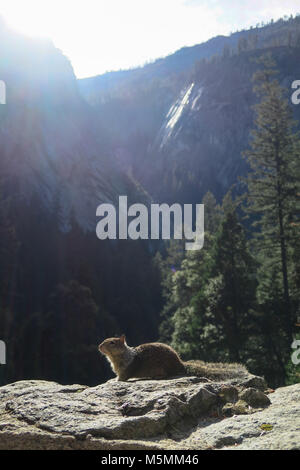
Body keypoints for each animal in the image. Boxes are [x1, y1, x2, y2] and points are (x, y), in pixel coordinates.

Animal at [98, 334, 248, 382]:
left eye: (112, 342)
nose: (99, 347)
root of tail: (180, 363)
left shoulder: (125, 370)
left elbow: (122, 378)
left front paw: (115, 381)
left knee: (166, 374)